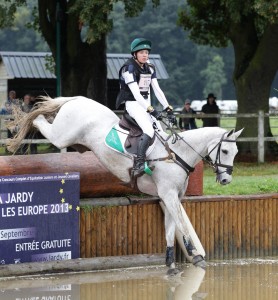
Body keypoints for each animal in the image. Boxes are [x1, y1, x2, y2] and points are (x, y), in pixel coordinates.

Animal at [7, 96, 243, 274]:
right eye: (224, 151)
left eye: (235, 152)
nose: (226, 180)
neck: (177, 155)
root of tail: (77, 99)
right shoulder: (168, 195)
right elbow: (182, 226)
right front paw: (195, 255)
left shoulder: (170, 198)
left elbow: (170, 229)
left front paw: (171, 264)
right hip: (61, 136)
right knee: (39, 119)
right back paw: (18, 127)